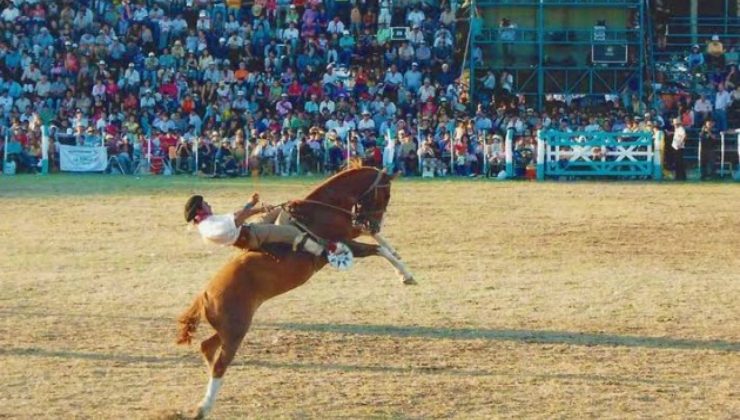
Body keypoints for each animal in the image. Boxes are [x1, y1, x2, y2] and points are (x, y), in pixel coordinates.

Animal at [176, 166, 414, 418]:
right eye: (385, 195)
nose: (376, 224)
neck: (319, 209)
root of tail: (204, 295)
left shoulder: (351, 232)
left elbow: (371, 238)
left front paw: (395, 252)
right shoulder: (342, 243)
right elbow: (376, 249)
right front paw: (406, 275)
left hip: (227, 329)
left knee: (207, 348)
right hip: (236, 330)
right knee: (221, 364)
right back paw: (203, 408)